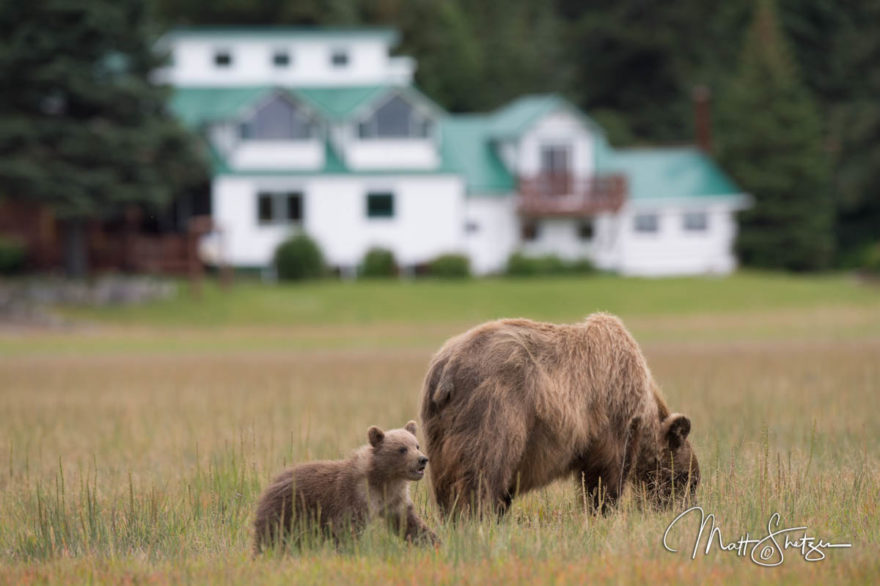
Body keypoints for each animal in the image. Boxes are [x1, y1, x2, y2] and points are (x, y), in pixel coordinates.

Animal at [253, 420, 438, 548]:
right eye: (402, 449)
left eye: (416, 445)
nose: (422, 460)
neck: (384, 478)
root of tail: (268, 486)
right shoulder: (355, 496)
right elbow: (348, 527)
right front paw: (348, 547)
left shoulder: (394, 499)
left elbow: (409, 523)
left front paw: (433, 541)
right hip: (288, 510)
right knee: (272, 535)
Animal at [420, 312, 700, 512]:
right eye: (688, 479)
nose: (685, 508)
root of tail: (447, 370)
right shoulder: (612, 418)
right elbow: (605, 477)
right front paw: (603, 509)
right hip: (494, 405)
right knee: (484, 468)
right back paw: (478, 516)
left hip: (438, 425)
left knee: (446, 481)